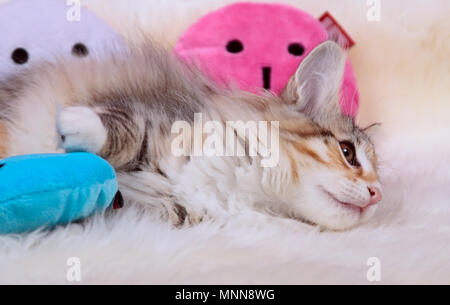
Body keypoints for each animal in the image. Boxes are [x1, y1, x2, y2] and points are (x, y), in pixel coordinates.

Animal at [0, 41, 382, 230]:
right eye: (348, 152)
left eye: (380, 179)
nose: (377, 194)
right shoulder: (158, 117)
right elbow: (130, 132)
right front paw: (73, 120)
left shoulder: (165, 212)